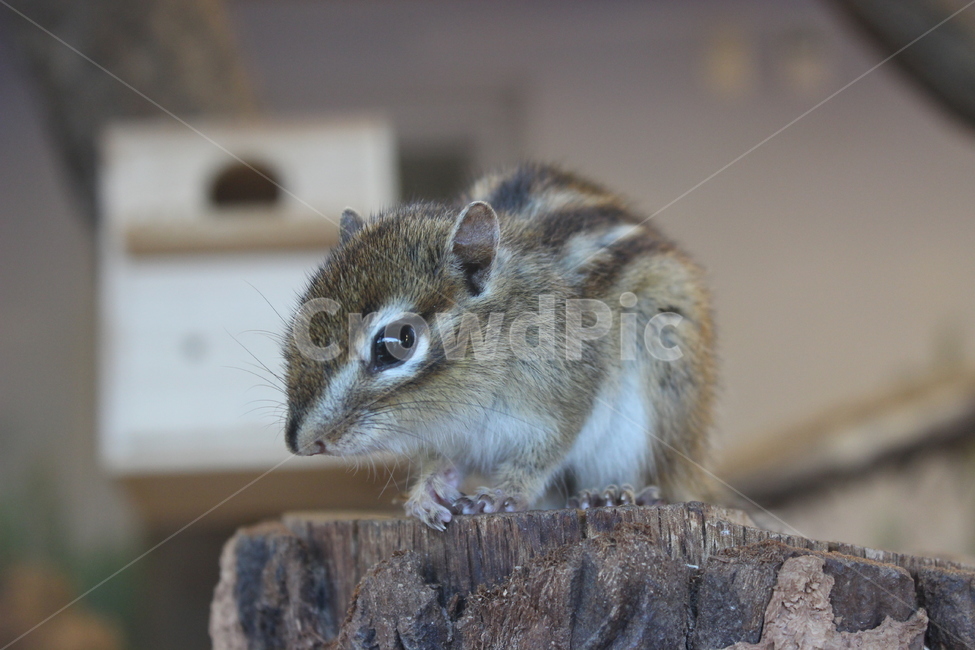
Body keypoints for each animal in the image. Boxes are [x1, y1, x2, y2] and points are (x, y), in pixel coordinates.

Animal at [283, 163, 716, 530]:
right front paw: (426, 493)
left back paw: (613, 495)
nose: (301, 443)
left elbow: (545, 452)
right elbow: (439, 462)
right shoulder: (445, 436)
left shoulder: (566, 396)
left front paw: (505, 494)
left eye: (397, 342)